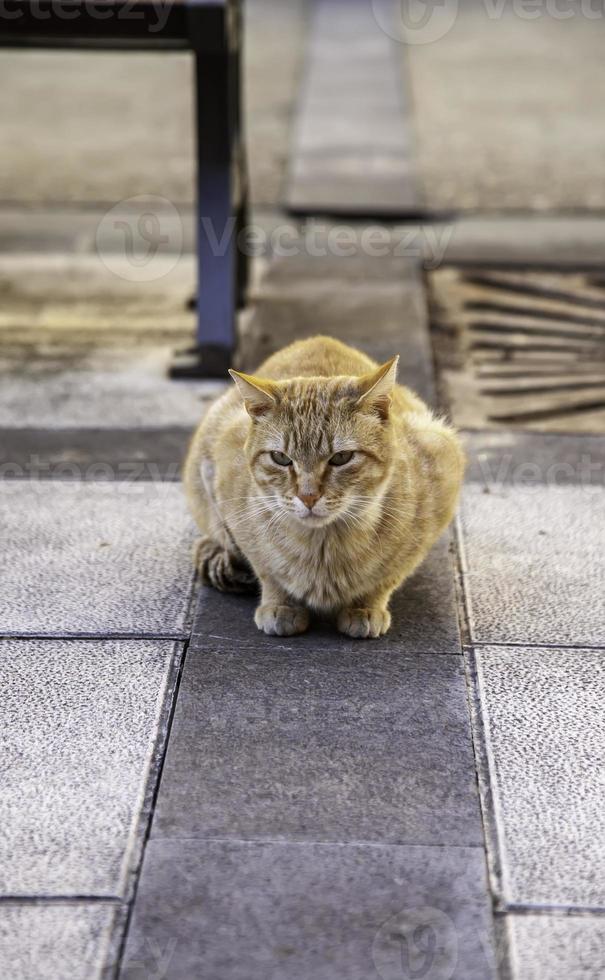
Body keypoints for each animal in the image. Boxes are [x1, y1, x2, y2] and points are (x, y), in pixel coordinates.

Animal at [183, 334, 462, 640]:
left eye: (341, 458)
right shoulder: (229, 498)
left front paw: (365, 607)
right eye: (280, 458)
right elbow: (266, 570)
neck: (323, 548)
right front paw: (280, 604)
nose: (308, 496)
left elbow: (387, 578)